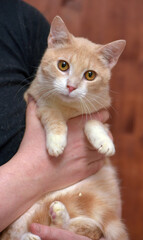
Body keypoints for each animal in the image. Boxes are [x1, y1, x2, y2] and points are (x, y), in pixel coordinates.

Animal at [0, 16, 128, 240]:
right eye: (63, 65)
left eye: (90, 75)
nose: (71, 86)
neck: (68, 109)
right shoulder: (37, 101)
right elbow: (53, 115)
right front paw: (57, 141)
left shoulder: (100, 113)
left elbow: (92, 121)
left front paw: (103, 141)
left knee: (80, 229)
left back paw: (56, 218)